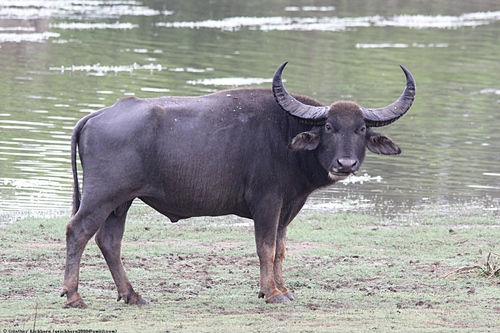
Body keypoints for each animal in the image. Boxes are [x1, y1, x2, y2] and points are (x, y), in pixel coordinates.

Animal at [60, 61, 416, 306]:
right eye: (329, 127)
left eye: (360, 129)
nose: (345, 164)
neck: (286, 134)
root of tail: (97, 115)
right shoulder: (267, 202)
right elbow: (265, 246)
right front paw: (271, 293)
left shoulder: (287, 207)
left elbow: (280, 249)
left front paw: (283, 288)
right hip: (102, 196)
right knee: (78, 231)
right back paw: (74, 296)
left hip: (121, 202)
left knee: (109, 241)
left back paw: (132, 295)